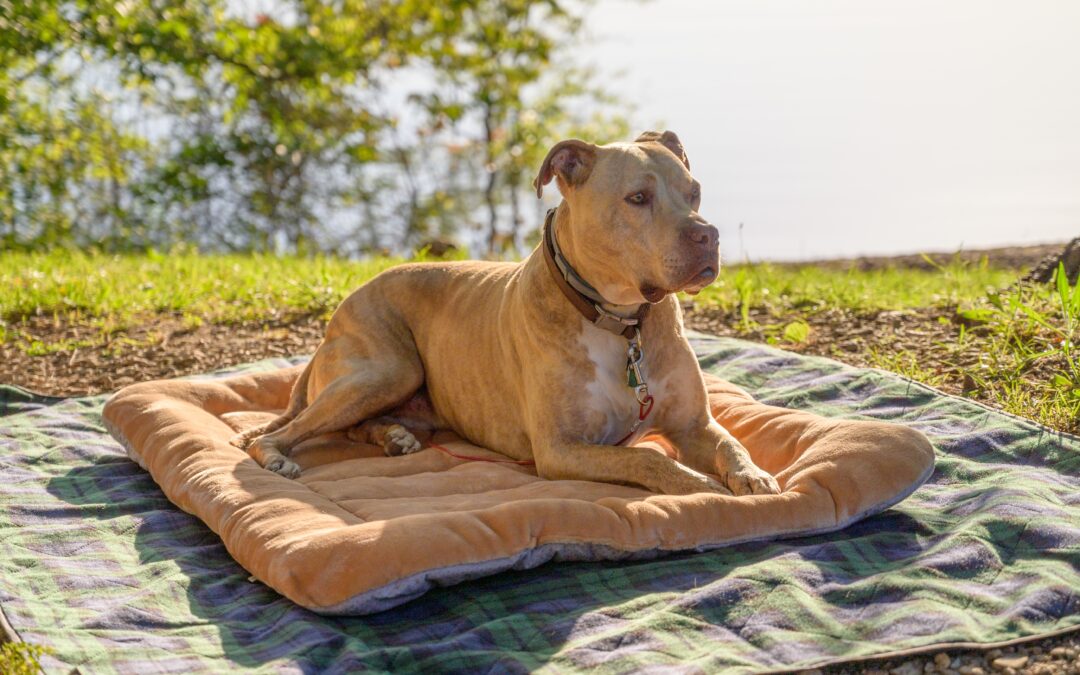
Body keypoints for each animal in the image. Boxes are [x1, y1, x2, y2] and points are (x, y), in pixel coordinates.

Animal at [232, 130, 781, 494]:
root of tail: (339, 313)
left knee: (351, 426)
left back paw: (394, 437)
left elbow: (731, 445)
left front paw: (754, 475)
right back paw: (277, 457)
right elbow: (648, 462)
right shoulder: (559, 449)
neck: (618, 322)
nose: (707, 236)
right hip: (387, 369)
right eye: (638, 198)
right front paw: (697, 484)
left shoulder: (694, 425)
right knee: (278, 434)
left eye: (695, 193)